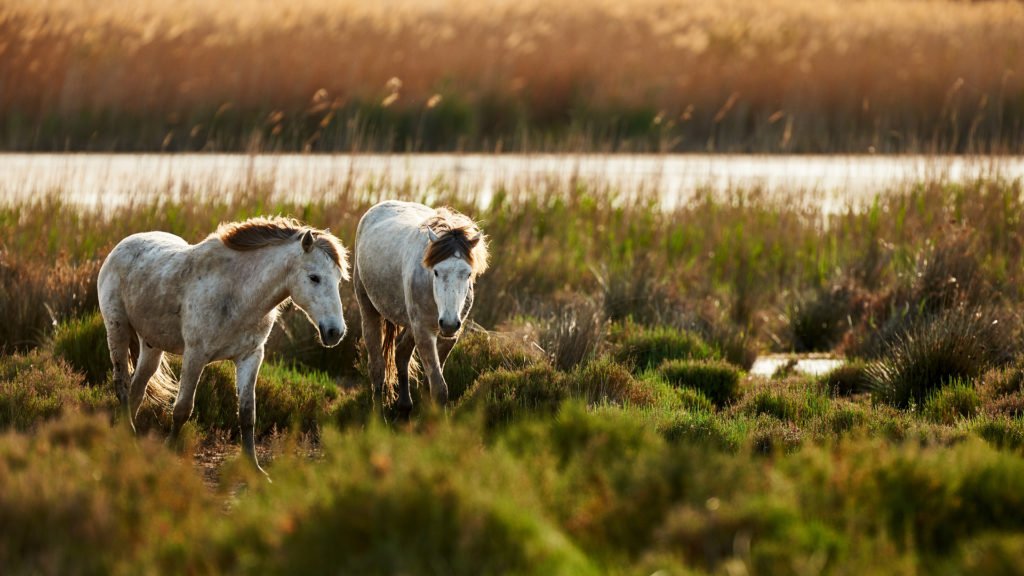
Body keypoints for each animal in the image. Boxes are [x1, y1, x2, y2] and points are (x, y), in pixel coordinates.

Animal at [99, 215, 348, 471]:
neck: (237, 292)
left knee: (137, 390)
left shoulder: (250, 357)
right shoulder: (195, 355)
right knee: (123, 385)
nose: (335, 332)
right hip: (117, 329)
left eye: (338, 279)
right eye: (314, 277)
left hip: (152, 346)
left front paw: (255, 469)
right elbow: (182, 409)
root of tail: (122, 246)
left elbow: (247, 414)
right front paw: (167, 456)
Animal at [352, 199, 487, 414]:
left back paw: (405, 405)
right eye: (437, 272)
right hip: (369, 309)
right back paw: (378, 415)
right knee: (377, 367)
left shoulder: (447, 337)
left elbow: (432, 383)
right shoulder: (424, 331)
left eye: (467, 274)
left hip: (411, 323)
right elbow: (439, 388)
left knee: (400, 352)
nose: (449, 323)